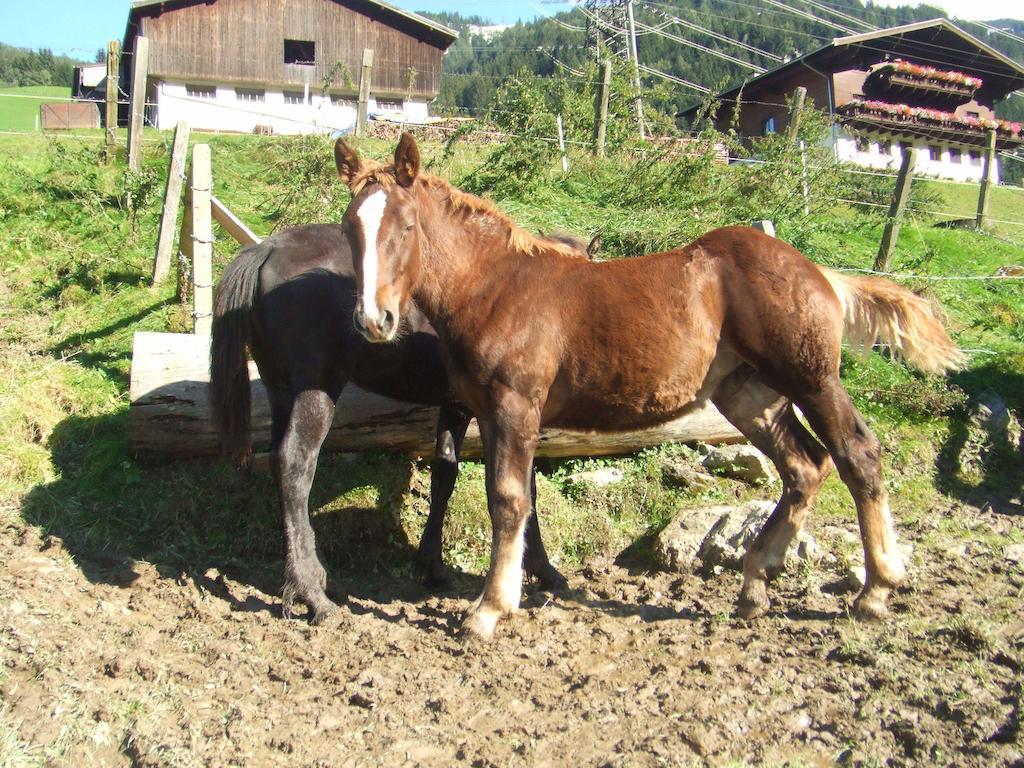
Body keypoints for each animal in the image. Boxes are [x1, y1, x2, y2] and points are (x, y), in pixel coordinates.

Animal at [208, 224, 593, 626]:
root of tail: (268, 248)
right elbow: (522, 490)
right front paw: (543, 570)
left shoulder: (455, 408)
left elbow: (444, 476)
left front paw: (431, 566)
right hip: (315, 391)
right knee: (294, 466)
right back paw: (313, 595)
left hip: (282, 391)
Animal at [337, 134, 966, 643]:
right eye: (350, 229)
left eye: (406, 227)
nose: (373, 320)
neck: (494, 287)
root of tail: (824, 276)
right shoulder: (490, 414)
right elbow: (516, 498)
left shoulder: (515, 407)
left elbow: (508, 500)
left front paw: (489, 610)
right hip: (748, 395)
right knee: (805, 466)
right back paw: (754, 587)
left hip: (810, 379)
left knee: (857, 454)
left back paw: (876, 590)